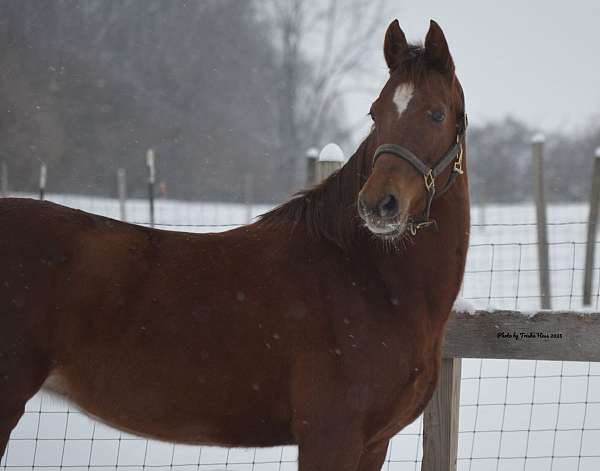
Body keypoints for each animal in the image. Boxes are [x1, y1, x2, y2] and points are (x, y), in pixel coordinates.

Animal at [0, 20, 468, 471]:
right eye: (375, 113)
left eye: (436, 113)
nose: (377, 205)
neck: (368, 279)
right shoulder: (329, 437)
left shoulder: (372, 445)